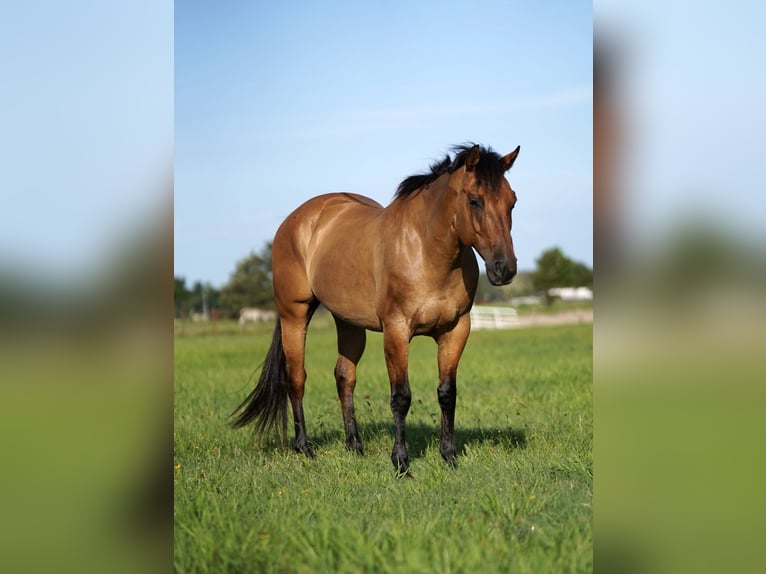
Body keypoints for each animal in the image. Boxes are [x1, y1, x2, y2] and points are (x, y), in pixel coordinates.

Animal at [232, 145, 520, 476]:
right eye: (474, 200)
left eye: (512, 201)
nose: (504, 268)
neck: (427, 251)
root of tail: (297, 219)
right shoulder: (396, 330)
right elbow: (401, 396)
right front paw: (401, 463)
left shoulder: (456, 329)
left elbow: (447, 393)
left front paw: (449, 457)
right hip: (294, 315)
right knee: (296, 378)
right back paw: (305, 448)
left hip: (348, 322)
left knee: (344, 377)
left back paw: (354, 447)